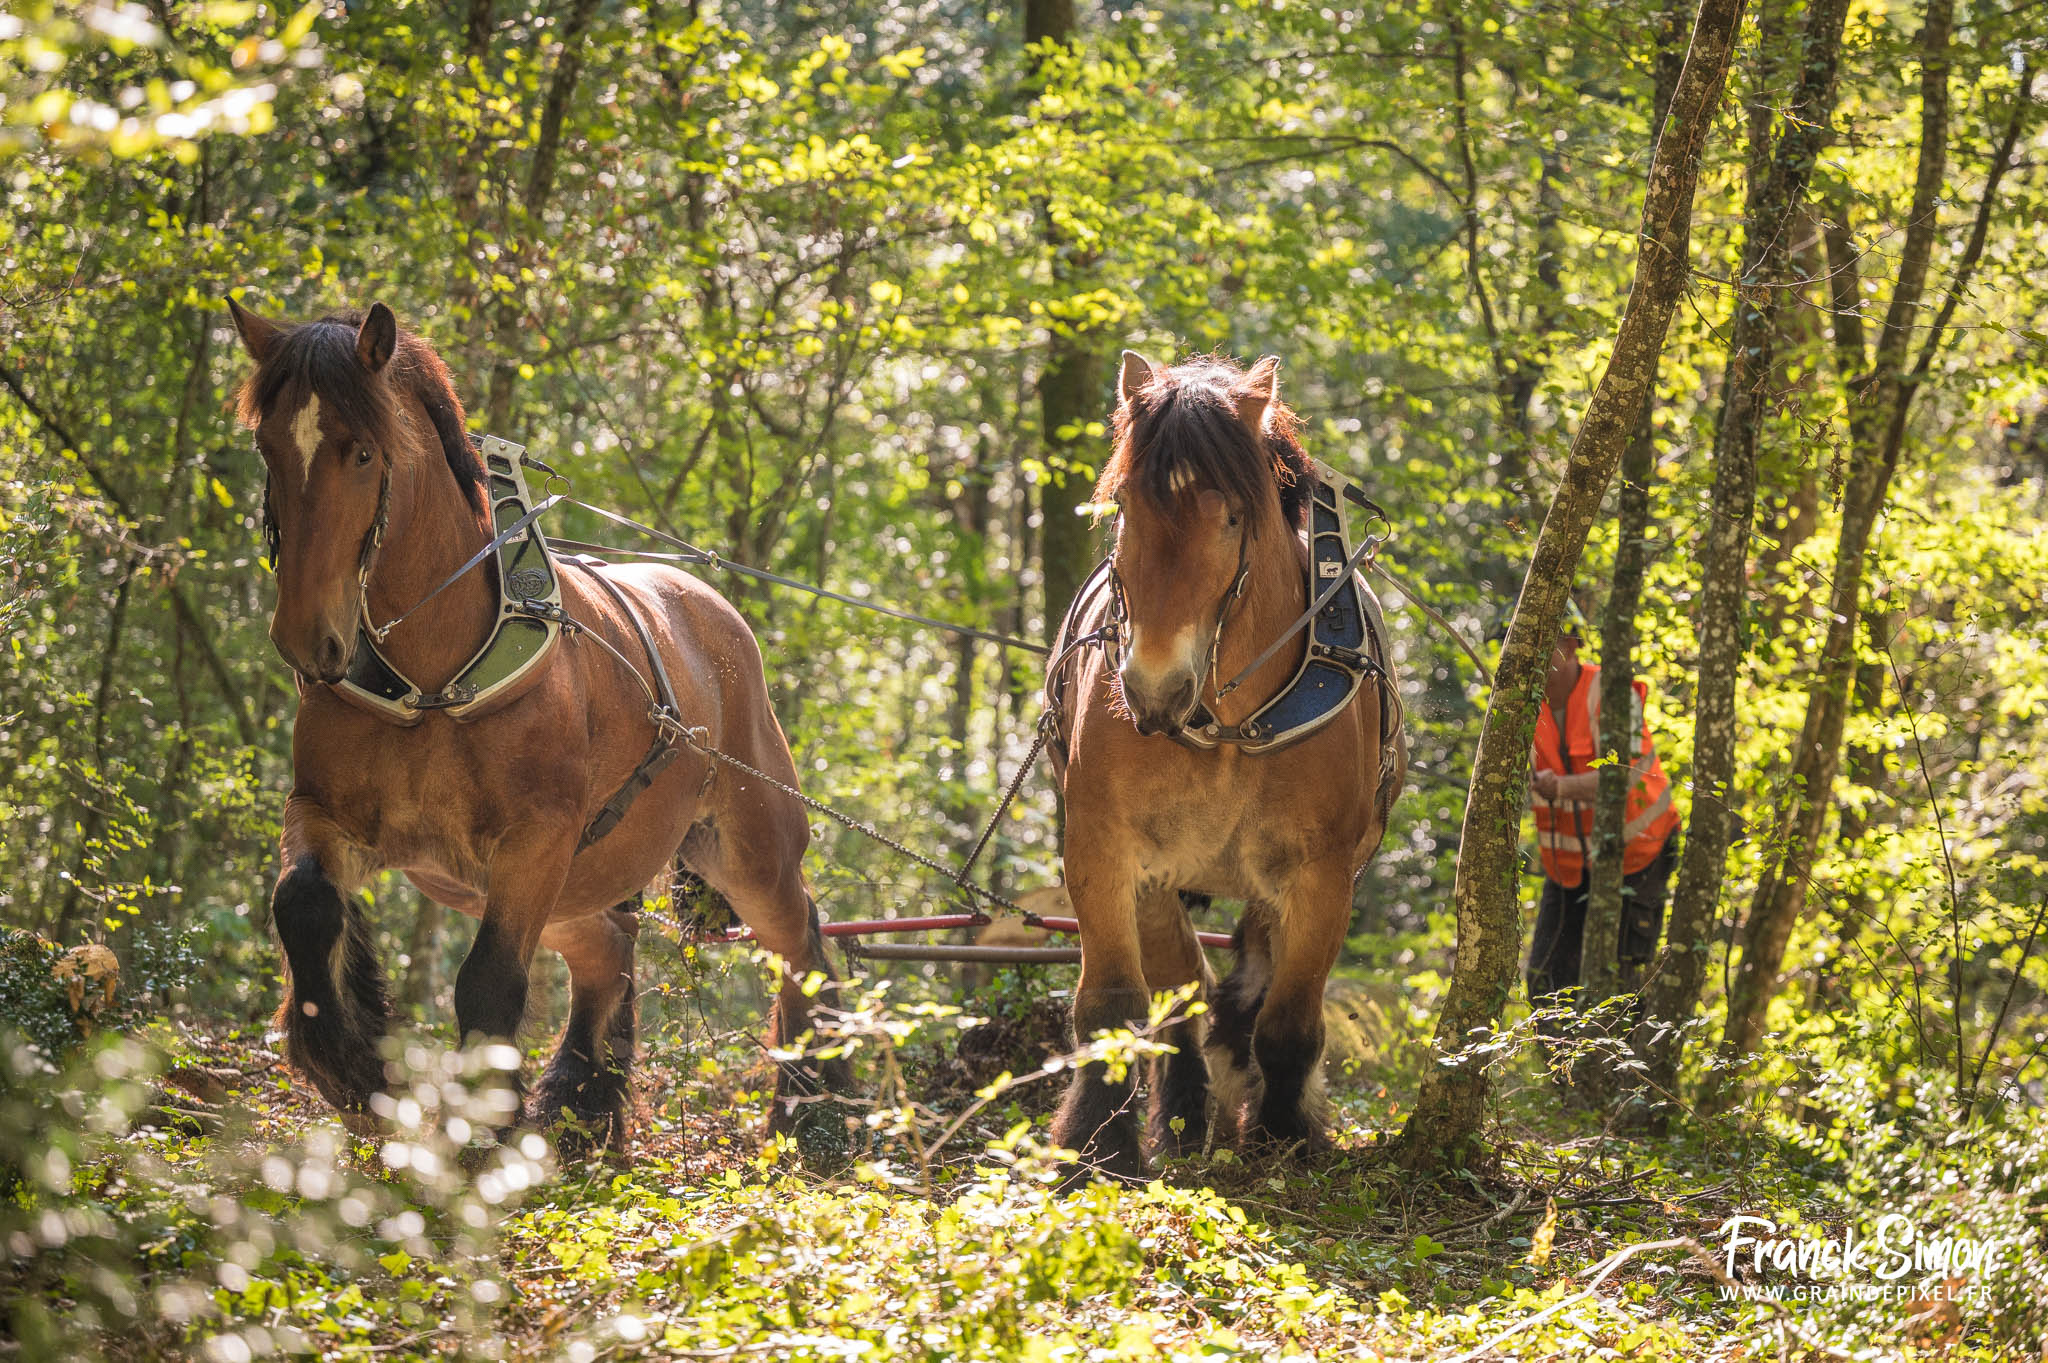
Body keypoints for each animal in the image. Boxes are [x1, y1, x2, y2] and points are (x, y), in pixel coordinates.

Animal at [227, 297, 847, 1155]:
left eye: (361, 453)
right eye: (268, 446)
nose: (305, 638)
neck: (437, 671)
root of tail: (712, 608)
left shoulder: (535, 843)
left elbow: (488, 984)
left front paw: (479, 1138)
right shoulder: (326, 813)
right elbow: (303, 903)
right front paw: (351, 1063)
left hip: (747, 851)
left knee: (801, 945)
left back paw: (811, 1109)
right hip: (564, 885)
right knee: (608, 952)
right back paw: (586, 1107)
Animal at [1044, 351, 1407, 1181]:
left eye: (1234, 516)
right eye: (1124, 504)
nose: (1152, 687)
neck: (1227, 725)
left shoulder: (1321, 873)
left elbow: (1290, 1021)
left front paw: (1281, 1138)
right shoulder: (1108, 851)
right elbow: (1114, 1004)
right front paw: (1097, 1146)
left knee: (1251, 990)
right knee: (1186, 995)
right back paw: (1182, 1116)